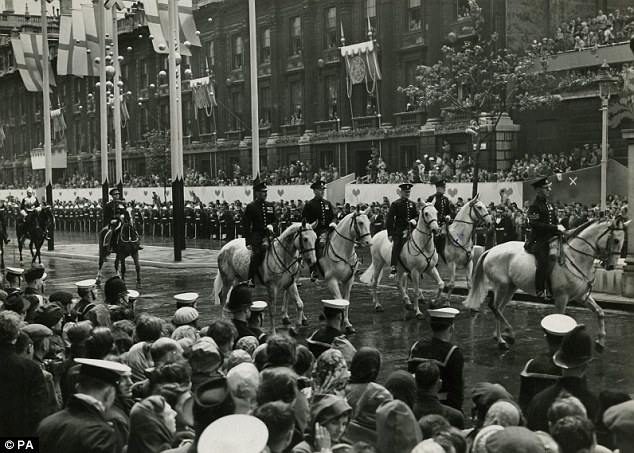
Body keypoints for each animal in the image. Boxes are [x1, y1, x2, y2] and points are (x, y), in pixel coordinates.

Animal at [462, 215, 628, 350]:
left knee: (499, 308)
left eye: (622, 241)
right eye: (616, 240)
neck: (576, 257)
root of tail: (491, 250)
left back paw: (500, 339)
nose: (611, 266)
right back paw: (507, 333)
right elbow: (560, 321)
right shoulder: (562, 297)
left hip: (510, 288)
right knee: (495, 307)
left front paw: (601, 341)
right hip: (501, 286)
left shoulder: (581, 296)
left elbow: (600, 312)